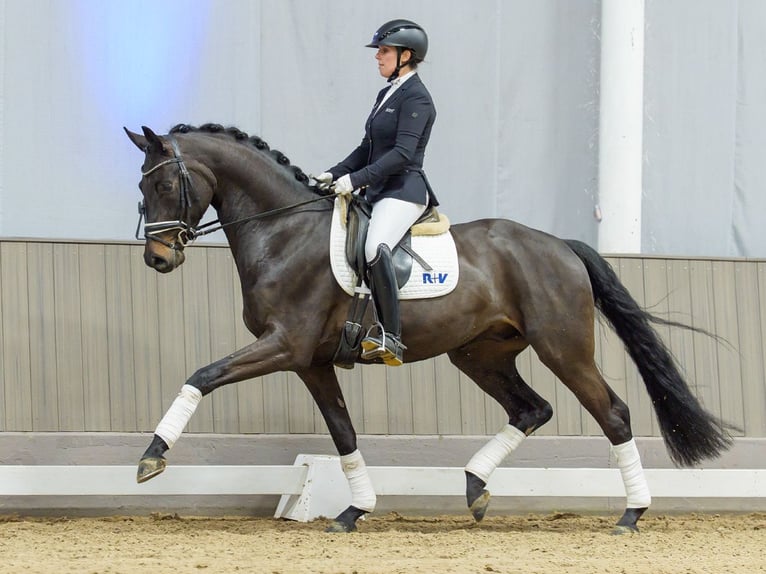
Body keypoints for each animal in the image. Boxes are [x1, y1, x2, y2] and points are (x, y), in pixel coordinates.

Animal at [124, 123, 732, 534]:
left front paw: (152, 458)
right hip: (479, 354)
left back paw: (631, 514)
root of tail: (559, 245)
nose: (157, 259)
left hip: (563, 348)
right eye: (142, 188)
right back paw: (475, 488)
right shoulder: (311, 362)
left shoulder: (283, 345)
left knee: (613, 413)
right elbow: (343, 434)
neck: (283, 231)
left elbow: (201, 375)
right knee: (531, 409)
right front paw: (354, 510)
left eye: (164, 186)